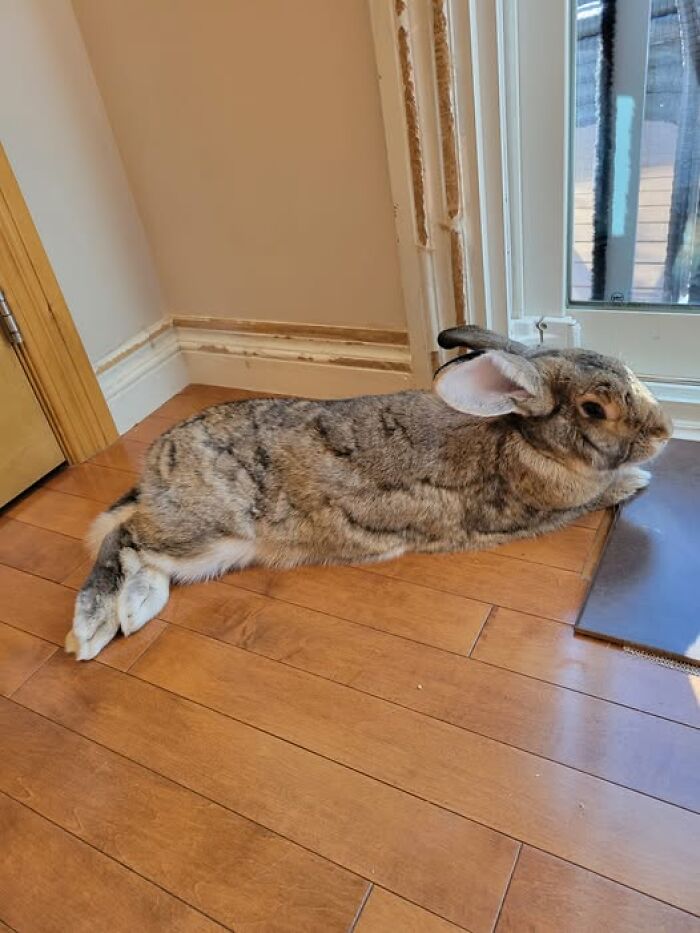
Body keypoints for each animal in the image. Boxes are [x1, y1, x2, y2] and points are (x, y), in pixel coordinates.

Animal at [65, 325, 672, 660]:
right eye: (594, 409)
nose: (665, 431)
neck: (525, 438)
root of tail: (155, 468)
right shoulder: (539, 510)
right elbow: (594, 497)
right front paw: (635, 481)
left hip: (214, 550)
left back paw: (133, 611)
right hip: (209, 528)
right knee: (124, 538)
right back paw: (92, 628)